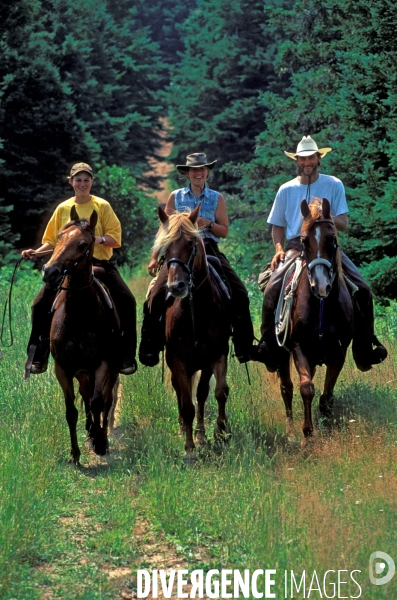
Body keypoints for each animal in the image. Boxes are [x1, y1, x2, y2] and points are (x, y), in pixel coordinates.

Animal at [42, 206, 119, 464]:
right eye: (59, 238)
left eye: (83, 244)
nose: (50, 272)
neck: (79, 316)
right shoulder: (63, 369)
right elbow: (71, 410)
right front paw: (75, 453)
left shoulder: (103, 363)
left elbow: (97, 403)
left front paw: (100, 441)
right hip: (82, 372)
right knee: (86, 396)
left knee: (106, 401)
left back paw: (101, 434)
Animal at [152, 204, 232, 462]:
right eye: (165, 247)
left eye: (191, 243)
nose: (176, 286)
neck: (195, 311)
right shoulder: (177, 360)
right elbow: (187, 404)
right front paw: (189, 449)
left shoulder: (215, 356)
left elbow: (216, 392)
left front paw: (218, 432)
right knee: (181, 393)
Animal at [276, 199, 352, 438]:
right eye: (304, 241)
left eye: (332, 239)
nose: (320, 286)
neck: (321, 305)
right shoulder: (299, 347)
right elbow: (306, 388)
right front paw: (307, 433)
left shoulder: (339, 352)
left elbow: (327, 395)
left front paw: (326, 427)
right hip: (282, 354)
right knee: (287, 387)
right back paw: (290, 428)